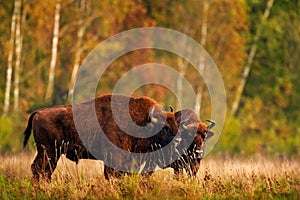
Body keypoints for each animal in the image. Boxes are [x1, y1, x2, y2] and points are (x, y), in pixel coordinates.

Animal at [23, 94, 179, 181]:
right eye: (164, 129)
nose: (177, 141)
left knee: (43, 171)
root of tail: (38, 112)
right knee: (39, 169)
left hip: (51, 154)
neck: (141, 123)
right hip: (48, 152)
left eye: (176, 126)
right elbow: (111, 174)